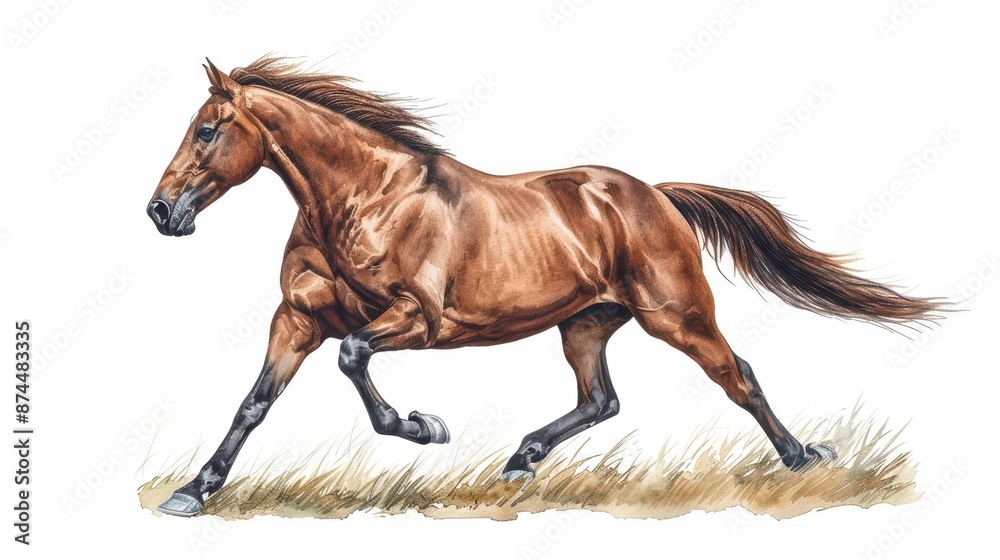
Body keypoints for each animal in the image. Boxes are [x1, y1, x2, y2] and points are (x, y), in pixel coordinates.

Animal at [147, 57, 941, 516]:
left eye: (208, 130)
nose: (160, 211)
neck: (365, 199)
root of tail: (658, 195)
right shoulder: (297, 320)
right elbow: (255, 403)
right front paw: (193, 492)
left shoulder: (417, 320)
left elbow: (355, 360)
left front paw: (424, 426)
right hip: (585, 323)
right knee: (601, 398)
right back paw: (520, 459)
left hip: (676, 315)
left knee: (736, 375)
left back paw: (802, 459)